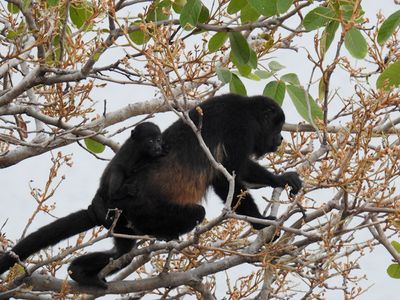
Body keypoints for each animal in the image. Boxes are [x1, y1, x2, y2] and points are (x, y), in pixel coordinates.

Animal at [0, 94, 302, 288]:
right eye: (276, 126)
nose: (280, 138)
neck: (248, 110)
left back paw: (81, 271)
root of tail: (110, 201)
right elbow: (229, 175)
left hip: (123, 220)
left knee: (121, 253)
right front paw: (264, 224)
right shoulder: (241, 129)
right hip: (143, 209)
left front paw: (283, 179)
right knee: (195, 213)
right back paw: (166, 235)